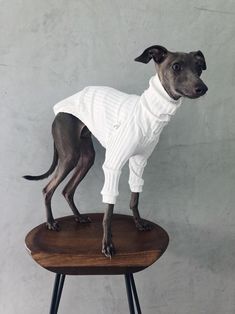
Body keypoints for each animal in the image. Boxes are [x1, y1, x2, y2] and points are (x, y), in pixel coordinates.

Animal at [23, 46, 207, 258]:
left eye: (199, 67)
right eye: (176, 66)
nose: (203, 88)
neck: (149, 113)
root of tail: (59, 112)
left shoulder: (139, 162)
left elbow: (135, 197)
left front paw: (139, 223)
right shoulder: (113, 165)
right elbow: (108, 211)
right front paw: (107, 245)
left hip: (87, 158)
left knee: (67, 190)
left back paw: (79, 217)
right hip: (70, 156)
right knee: (48, 188)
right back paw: (51, 222)